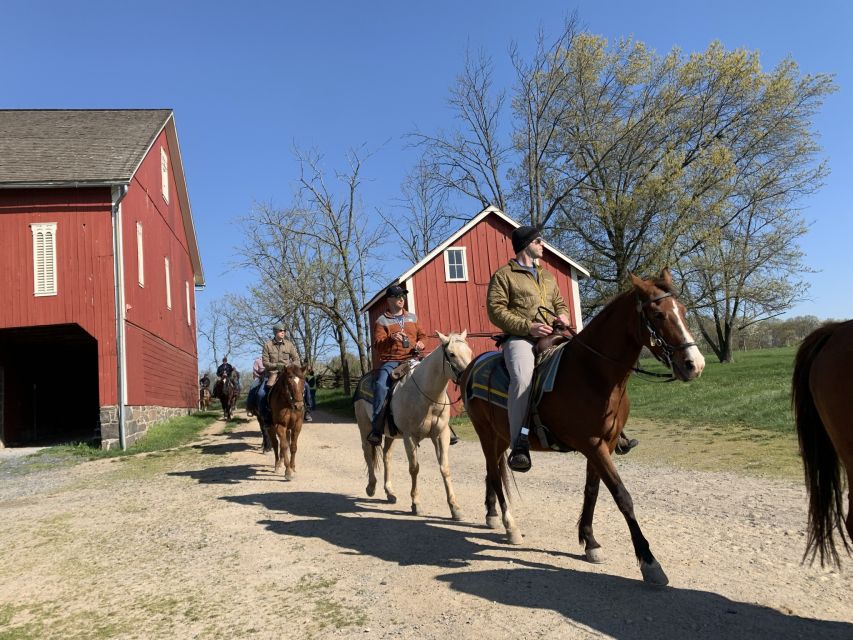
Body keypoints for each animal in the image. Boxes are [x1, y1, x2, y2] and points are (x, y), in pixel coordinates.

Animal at [352, 332, 472, 516]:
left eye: (470, 351)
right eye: (451, 354)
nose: (468, 378)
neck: (427, 396)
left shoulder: (441, 435)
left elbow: (445, 468)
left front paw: (455, 507)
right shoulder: (410, 437)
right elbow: (414, 468)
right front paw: (416, 503)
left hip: (390, 435)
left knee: (387, 457)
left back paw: (390, 492)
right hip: (364, 428)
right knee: (367, 453)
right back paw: (371, 487)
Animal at [460, 270, 704, 584]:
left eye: (683, 311)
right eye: (659, 314)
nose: (694, 364)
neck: (592, 372)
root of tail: (471, 367)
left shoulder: (604, 445)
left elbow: (592, 491)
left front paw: (590, 543)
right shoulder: (592, 444)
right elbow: (622, 496)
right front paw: (649, 562)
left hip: (501, 437)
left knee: (493, 474)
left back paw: (492, 515)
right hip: (486, 435)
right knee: (493, 472)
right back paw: (509, 525)